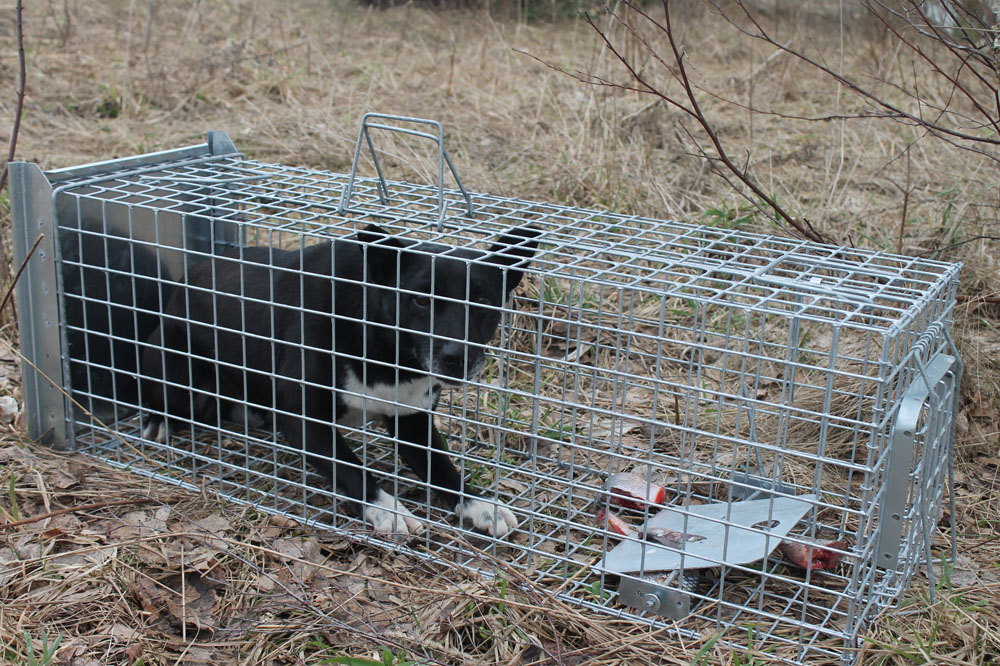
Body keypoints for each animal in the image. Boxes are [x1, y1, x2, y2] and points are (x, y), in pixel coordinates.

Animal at [141, 226, 540, 536]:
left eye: (483, 299)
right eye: (419, 300)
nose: (457, 357)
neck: (385, 351)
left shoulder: (411, 417)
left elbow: (441, 466)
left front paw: (477, 504)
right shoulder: (304, 418)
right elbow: (352, 470)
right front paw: (389, 509)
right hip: (174, 368)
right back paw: (158, 423)